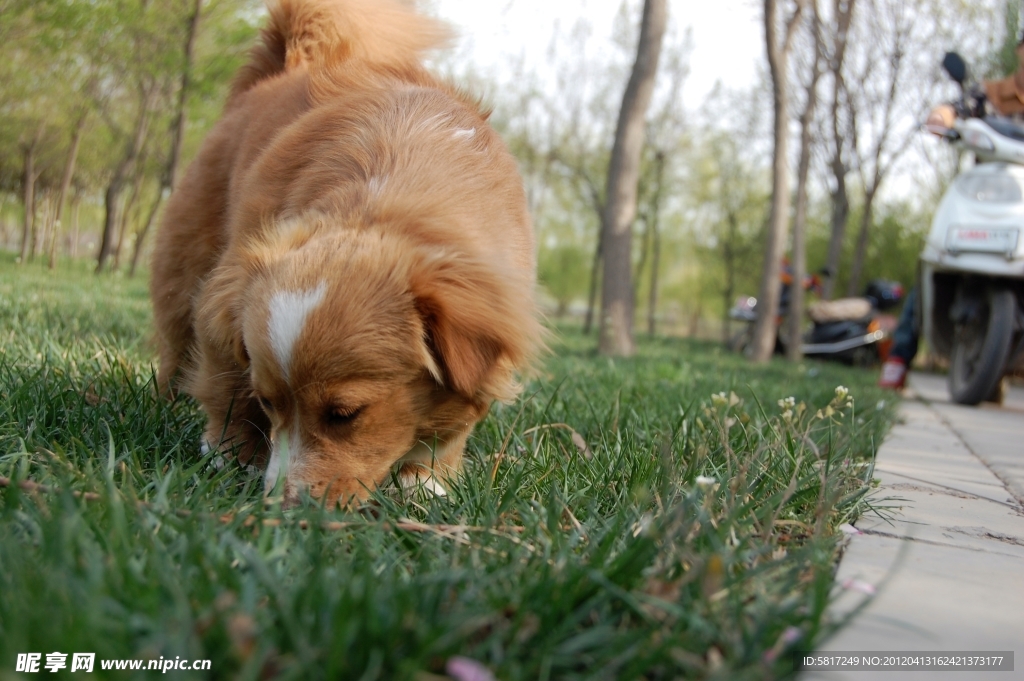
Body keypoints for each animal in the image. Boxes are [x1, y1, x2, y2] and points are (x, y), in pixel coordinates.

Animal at [149, 0, 544, 501]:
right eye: (268, 401)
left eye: (345, 414)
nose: (284, 503)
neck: (387, 199)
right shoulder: (226, 294)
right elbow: (228, 388)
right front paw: (229, 457)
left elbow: (451, 426)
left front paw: (426, 483)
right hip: (184, 270)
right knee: (177, 343)